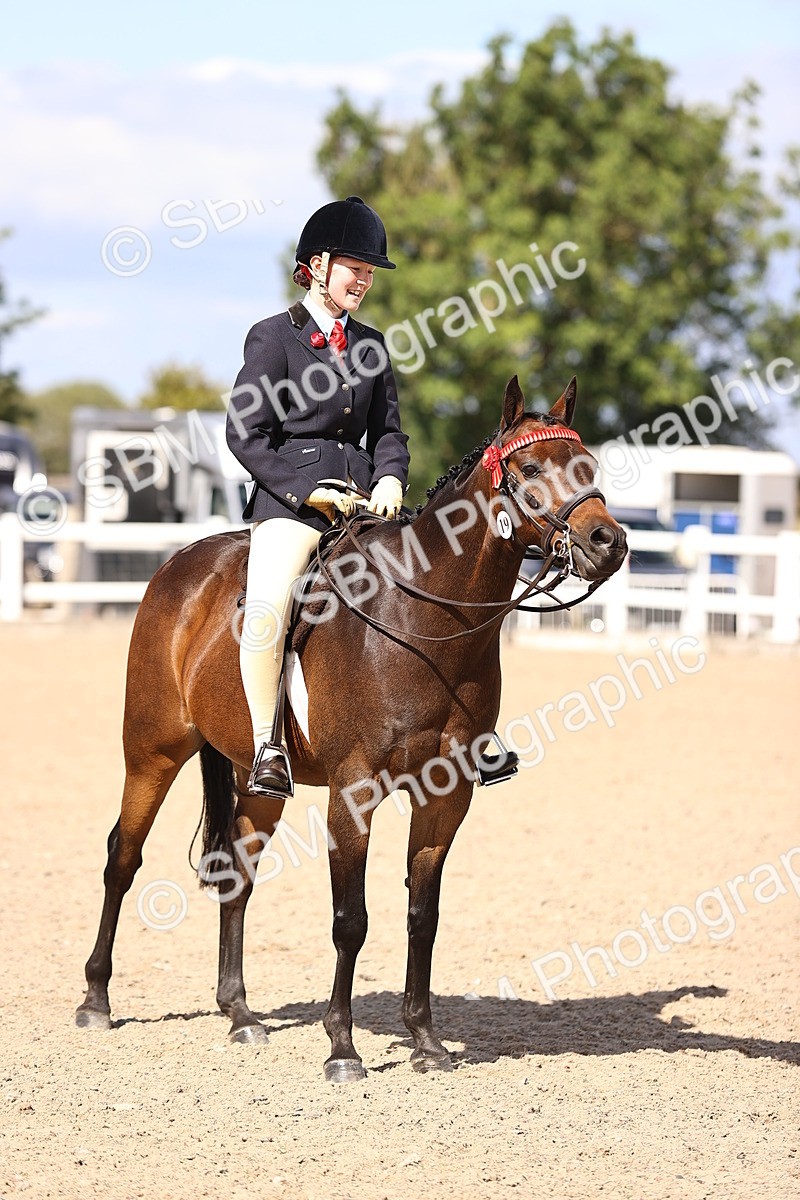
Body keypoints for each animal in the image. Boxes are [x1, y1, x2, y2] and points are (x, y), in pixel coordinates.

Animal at [75, 375, 627, 1081]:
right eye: (529, 470)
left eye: (588, 466)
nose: (608, 543)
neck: (424, 617)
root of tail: (180, 565)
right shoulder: (354, 791)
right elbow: (351, 920)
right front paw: (342, 1048)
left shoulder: (446, 795)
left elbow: (423, 914)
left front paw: (425, 1041)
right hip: (152, 751)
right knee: (122, 856)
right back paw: (96, 999)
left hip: (259, 780)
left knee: (237, 874)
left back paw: (241, 1014)